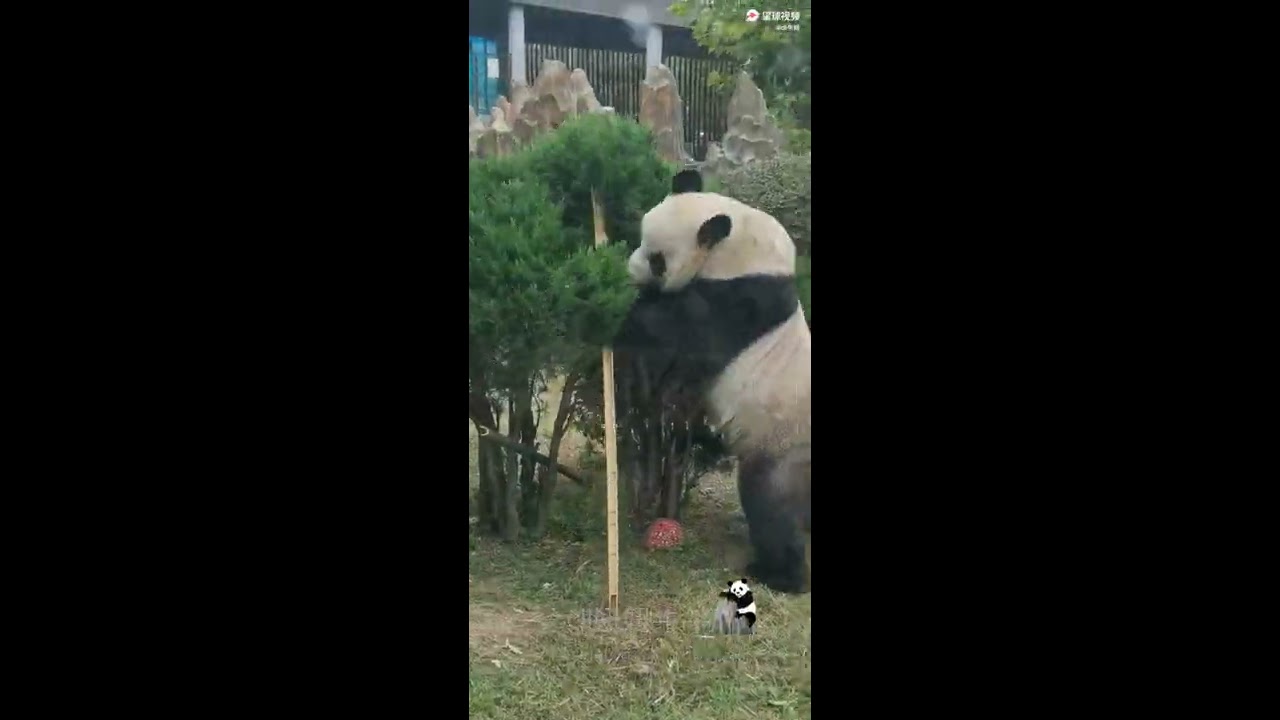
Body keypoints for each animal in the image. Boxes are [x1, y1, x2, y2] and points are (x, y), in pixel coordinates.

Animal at [614, 168, 811, 593]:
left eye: (657, 260)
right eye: (640, 238)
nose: (629, 271)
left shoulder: (738, 303)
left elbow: (675, 335)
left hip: (787, 446)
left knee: (769, 502)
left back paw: (780, 575)